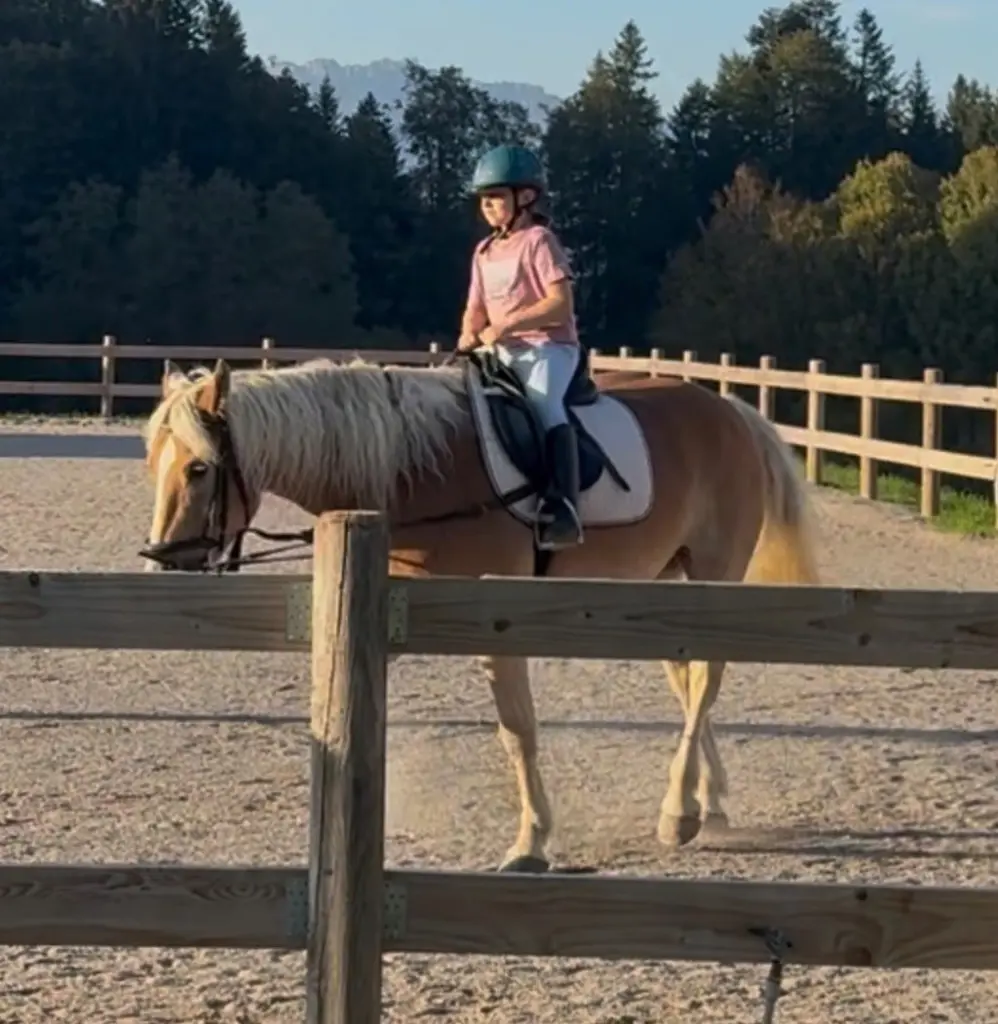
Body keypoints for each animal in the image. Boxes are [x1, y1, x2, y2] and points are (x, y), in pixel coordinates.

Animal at [139, 349, 819, 873]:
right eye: (153, 464)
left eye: (198, 468)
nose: (159, 565)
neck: (417, 473)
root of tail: (731, 411)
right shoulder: (386, 614)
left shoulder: (496, 622)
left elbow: (517, 730)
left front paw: (531, 842)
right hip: (666, 579)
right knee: (688, 677)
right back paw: (711, 800)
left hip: (714, 571)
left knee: (707, 675)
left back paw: (679, 813)